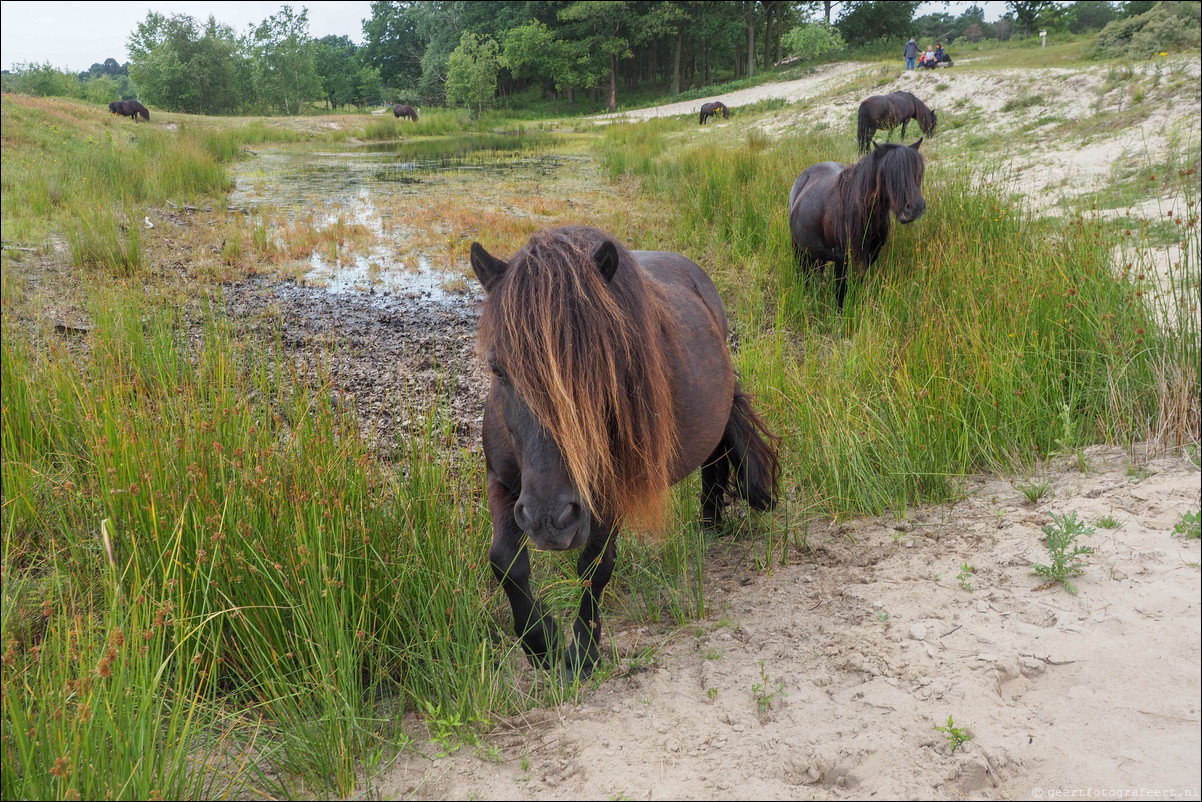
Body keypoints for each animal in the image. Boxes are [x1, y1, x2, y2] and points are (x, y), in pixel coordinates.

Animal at [468, 224, 778, 678]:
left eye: (600, 363)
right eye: (498, 369)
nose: (549, 519)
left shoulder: (610, 493)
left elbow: (595, 568)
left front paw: (583, 652)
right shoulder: (503, 483)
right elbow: (505, 562)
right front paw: (541, 643)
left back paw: (710, 521)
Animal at [788, 140, 927, 307]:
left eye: (917, 172)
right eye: (889, 174)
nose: (915, 208)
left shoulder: (869, 257)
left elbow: (857, 285)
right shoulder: (841, 258)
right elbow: (840, 291)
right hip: (799, 248)